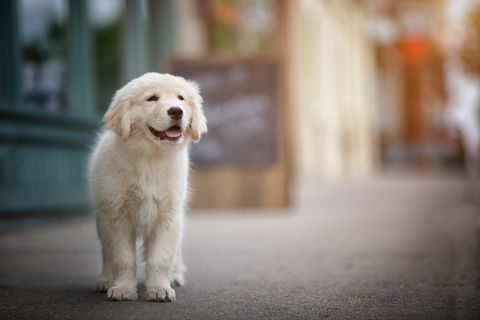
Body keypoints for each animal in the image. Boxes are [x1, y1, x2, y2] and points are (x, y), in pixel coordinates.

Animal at [88, 71, 206, 302]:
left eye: (180, 98)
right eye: (151, 98)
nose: (176, 111)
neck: (151, 158)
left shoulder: (169, 215)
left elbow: (162, 256)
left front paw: (160, 289)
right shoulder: (117, 215)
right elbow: (122, 258)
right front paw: (122, 289)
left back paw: (174, 275)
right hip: (102, 217)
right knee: (106, 251)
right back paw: (105, 279)